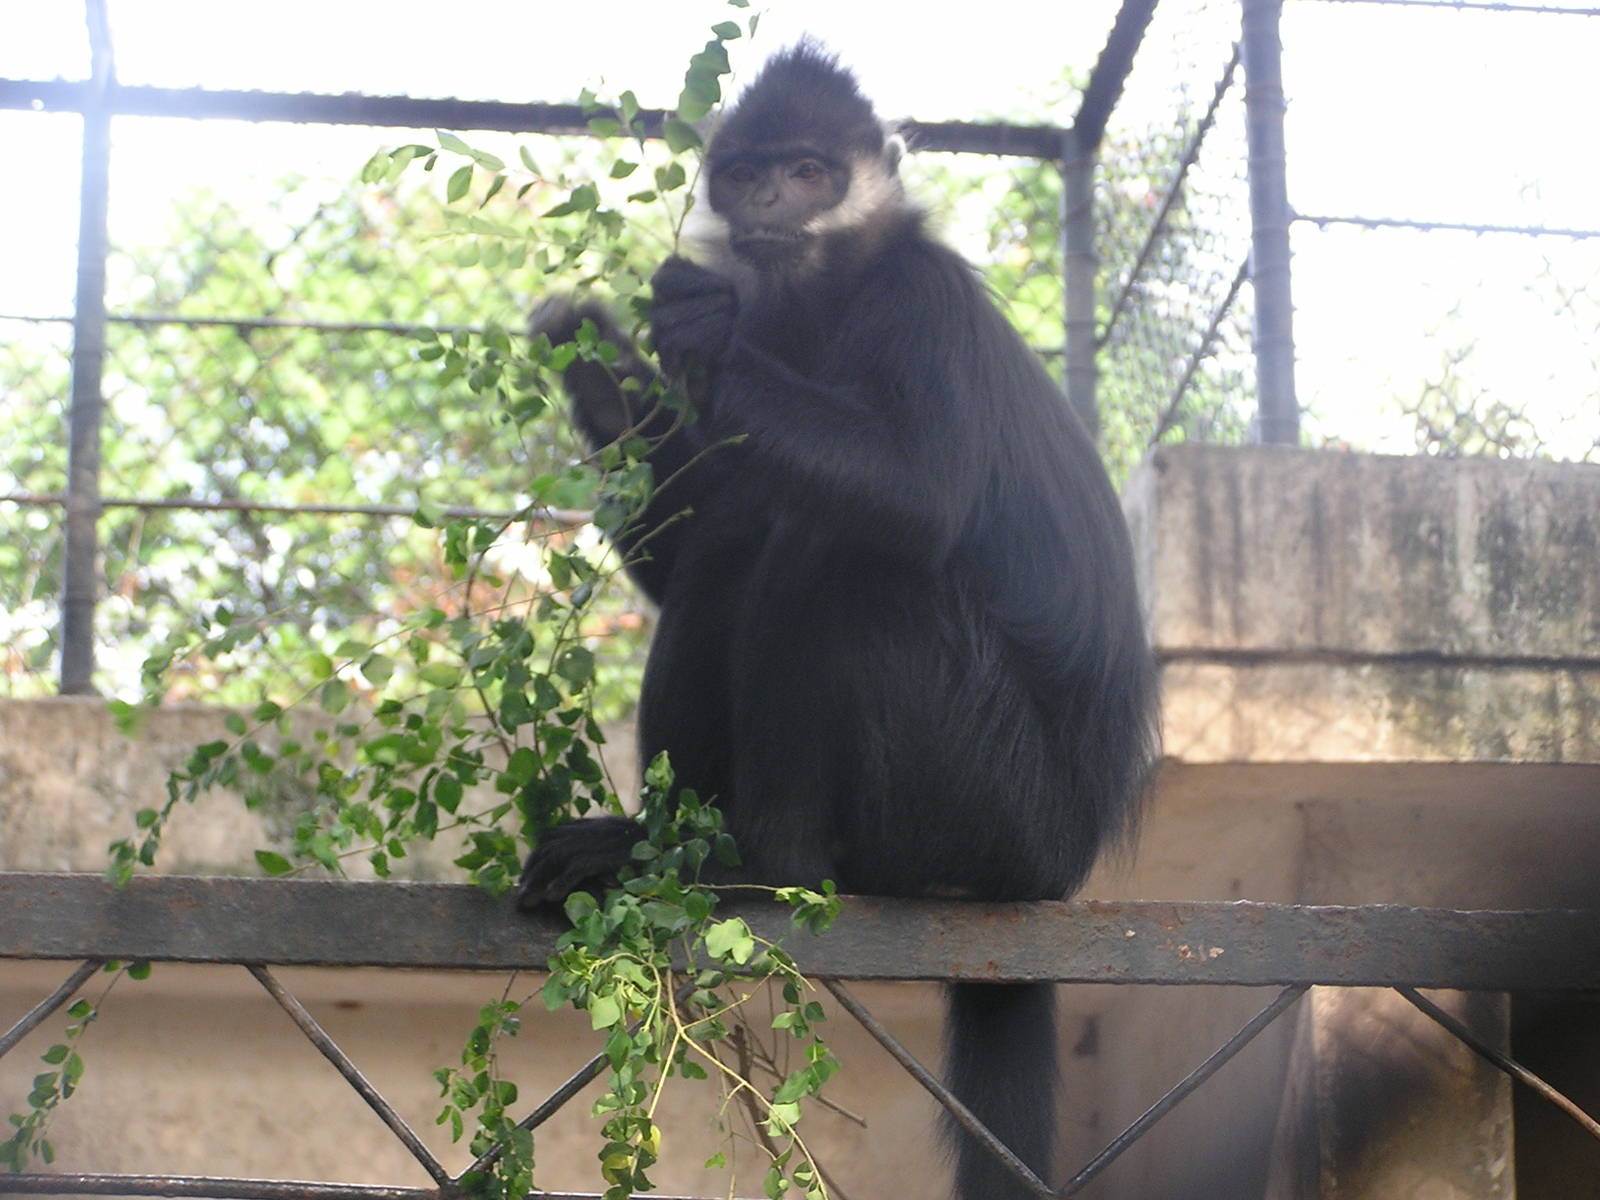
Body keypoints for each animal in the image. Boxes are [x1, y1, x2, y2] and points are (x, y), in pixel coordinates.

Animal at [518, 42, 1159, 1200]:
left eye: (810, 171)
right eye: (746, 173)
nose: (771, 201)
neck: (822, 307)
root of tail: (1060, 870)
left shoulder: (923, 301)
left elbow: (918, 496)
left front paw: (703, 327)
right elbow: (697, 541)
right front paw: (597, 359)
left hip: (992, 808)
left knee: (842, 556)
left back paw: (756, 863)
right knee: (744, 540)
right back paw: (665, 847)